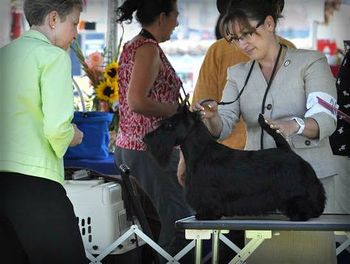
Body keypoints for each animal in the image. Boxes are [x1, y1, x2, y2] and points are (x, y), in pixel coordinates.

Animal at [142, 105, 326, 221]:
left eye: (168, 126)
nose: (145, 138)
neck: (201, 152)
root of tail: (286, 150)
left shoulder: (207, 193)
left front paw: (206, 215)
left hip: (296, 190)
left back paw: (301, 214)